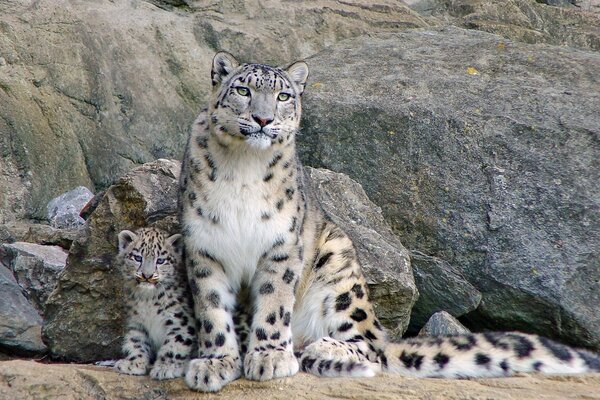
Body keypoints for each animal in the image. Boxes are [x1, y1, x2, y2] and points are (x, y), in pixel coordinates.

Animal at [179, 51, 600, 392]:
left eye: (283, 96)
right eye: (243, 90)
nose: (263, 118)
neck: (243, 169)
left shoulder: (281, 247)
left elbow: (273, 303)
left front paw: (268, 357)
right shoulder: (203, 246)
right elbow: (212, 309)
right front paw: (214, 362)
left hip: (339, 266)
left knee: (372, 344)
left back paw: (322, 346)